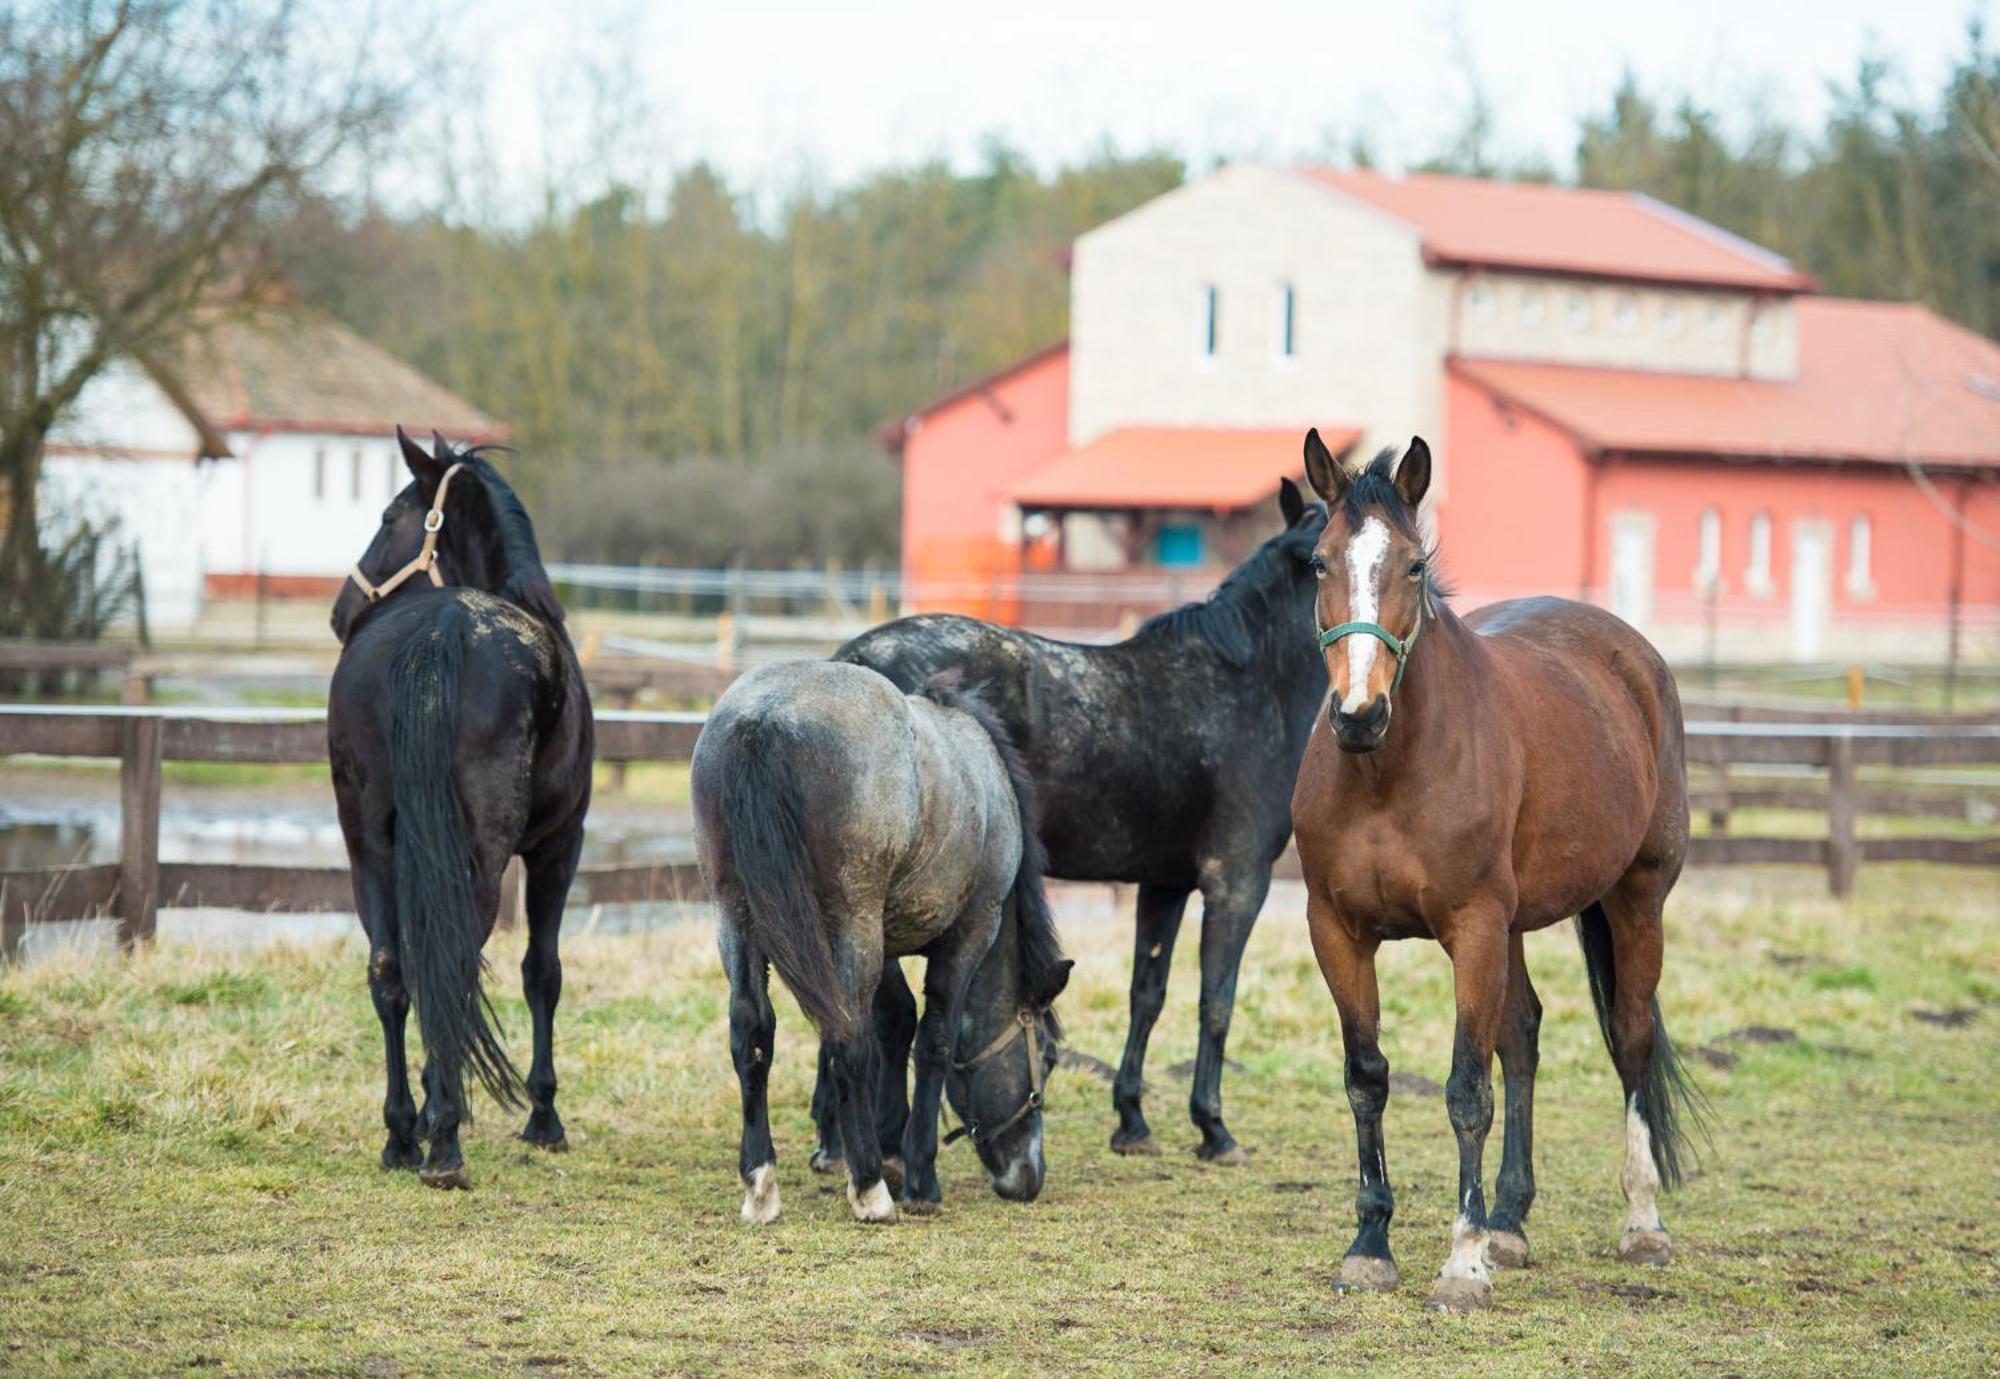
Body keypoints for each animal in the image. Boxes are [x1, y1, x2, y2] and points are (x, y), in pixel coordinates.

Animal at [328, 427, 588, 1183]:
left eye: (388, 516)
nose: (340, 611)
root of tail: (439, 629)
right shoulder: (560, 844)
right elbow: (542, 972)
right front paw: (543, 1115)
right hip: (483, 855)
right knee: (456, 966)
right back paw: (444, 1140)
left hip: (367, 845)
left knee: (392, 972)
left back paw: (401, 1134)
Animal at [688, 659, 1072, 1223]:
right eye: (1046, 1057)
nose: (1028, 1176)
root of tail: (765, 718)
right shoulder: (971, 930)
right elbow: (934, 1038)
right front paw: (916, 1173)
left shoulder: (883, 941)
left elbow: (896, 1020)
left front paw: (890, 1143)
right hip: (852, 920)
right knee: (847, 1040)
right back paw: (869, 1187)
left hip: (737, 917)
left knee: (752, 1033)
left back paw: (762, 1184)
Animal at [812, 483, 1328, 1159]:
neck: (1246, 683)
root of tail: (851, 665)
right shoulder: (1236, 881)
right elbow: (1216, 1000)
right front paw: (1213, 1128)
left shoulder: (1165, 884)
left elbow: (1147, 995)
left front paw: (1132, 1120)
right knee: (882, 1011)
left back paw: (832, 1140)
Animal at [1288, 429, 1696, 1311]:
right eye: (1319, 562)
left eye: (1412, 564)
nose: (1359, 714)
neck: (1387, 771)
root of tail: (1635, 659)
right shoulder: (1337, 931)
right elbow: (1367, 1077)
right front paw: (1371, 1243)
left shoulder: (1470, 929)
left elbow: (1466, 1089)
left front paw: (1462, 1262)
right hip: (1513, 925)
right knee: (1525, 1036)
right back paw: (1511, 1218)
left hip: (1634, 899)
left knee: (1631, 1037)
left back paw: (1642, 1222)